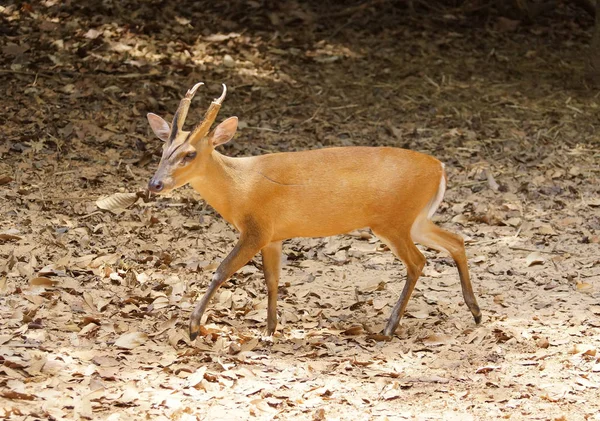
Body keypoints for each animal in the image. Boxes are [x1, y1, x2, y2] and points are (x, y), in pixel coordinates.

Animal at [146, 83, 482, 342]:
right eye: (162, 151)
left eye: (189, 154)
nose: (155, 184)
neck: (240, 188)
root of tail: (439, 168)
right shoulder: (273, 236)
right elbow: (272, 280)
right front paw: (269, 330)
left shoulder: (257, 229)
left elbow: (221, 271)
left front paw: (193, 327)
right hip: (415, 219)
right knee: (455, 240)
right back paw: (475, 312)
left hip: (393, 220)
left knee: (418, 261)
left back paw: (389, 327)